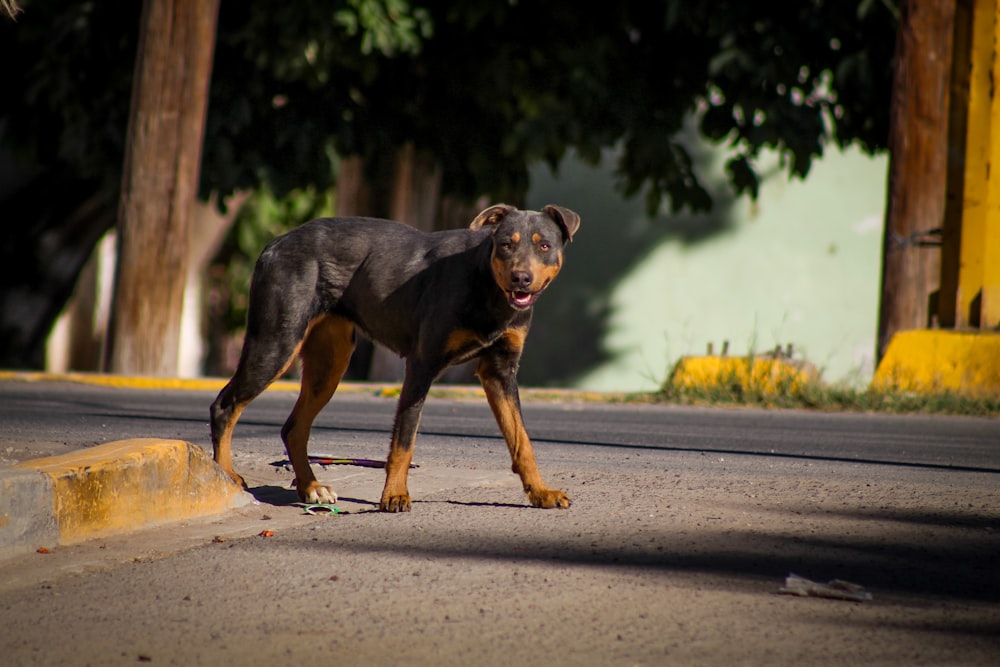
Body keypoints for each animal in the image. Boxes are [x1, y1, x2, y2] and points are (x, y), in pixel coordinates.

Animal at [211, 204, 584, 512]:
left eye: (544, 246)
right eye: (506, 244)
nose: (521, 278)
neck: (488, 285)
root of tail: (273, 245)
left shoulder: (499, 371)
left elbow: (522, 440)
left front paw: (541, 493)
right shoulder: (421, 364)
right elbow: (404, 439)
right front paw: (394, 495)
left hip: (329, 363)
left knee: (293, 428)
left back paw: (311, 487)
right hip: (276, 342)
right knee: (225, 406)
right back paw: (227, 477)